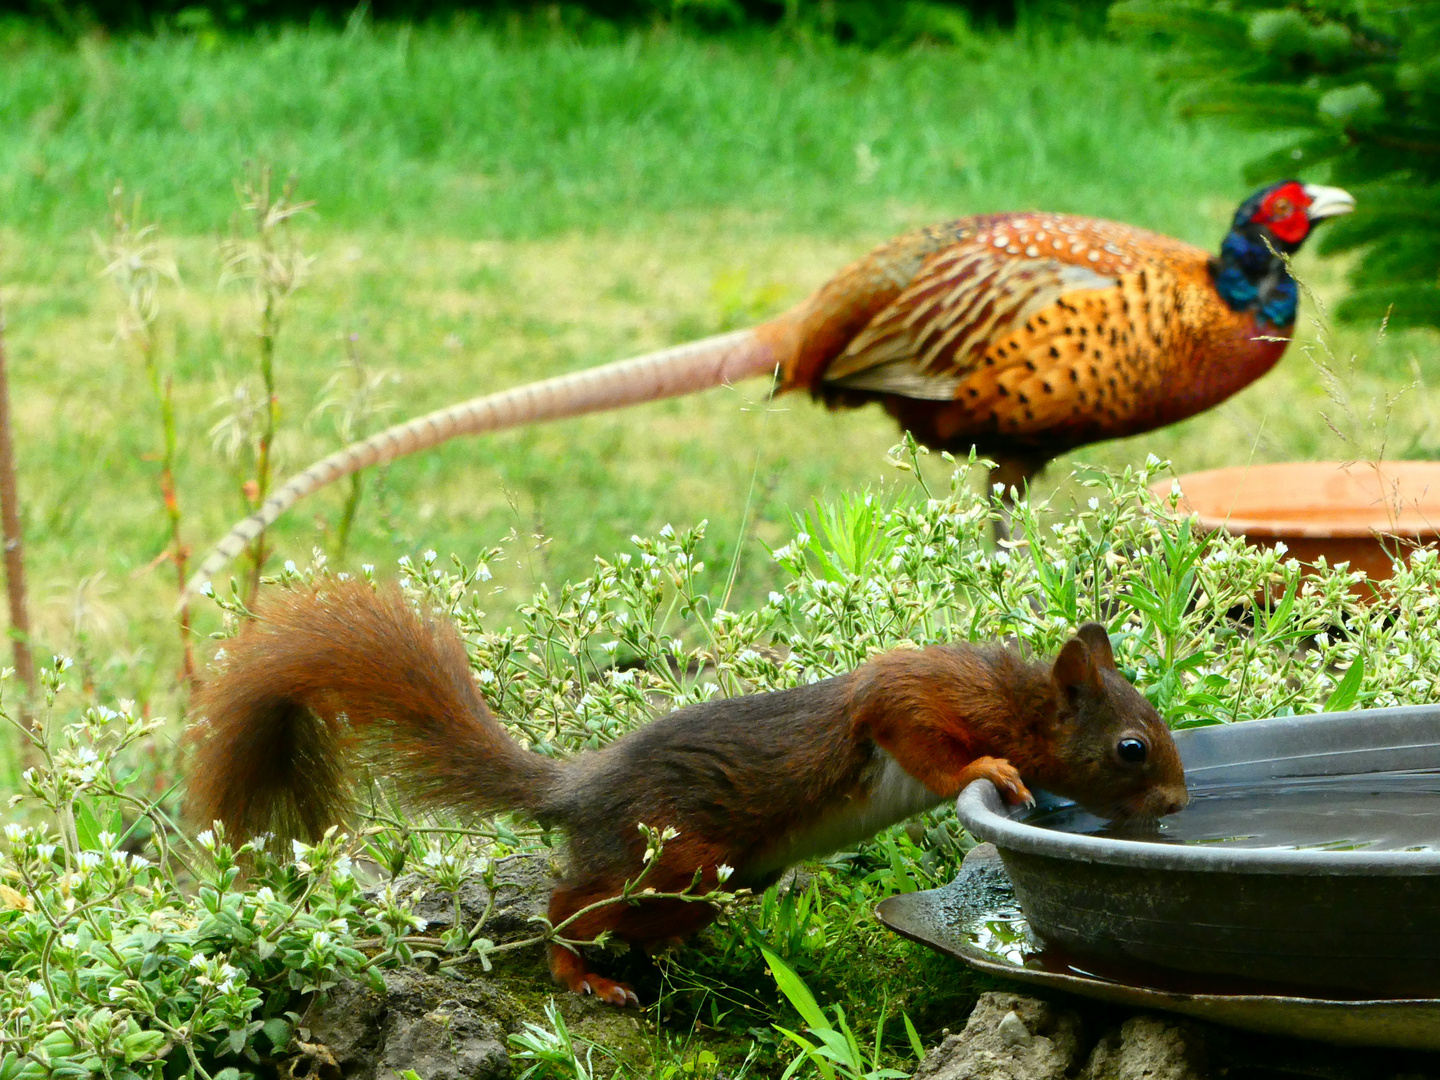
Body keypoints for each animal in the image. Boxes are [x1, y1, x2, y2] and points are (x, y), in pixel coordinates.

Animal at [185, 578, 1186, 1013]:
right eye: (1132, 748)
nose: (1178, 805)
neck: (1017, 705)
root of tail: (577, 792)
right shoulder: (911, 698)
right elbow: (922, 743)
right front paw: (991, 776)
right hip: (668, 852)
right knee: (565, 905)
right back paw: (584, 975)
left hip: (718, 880)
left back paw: (674, 964)